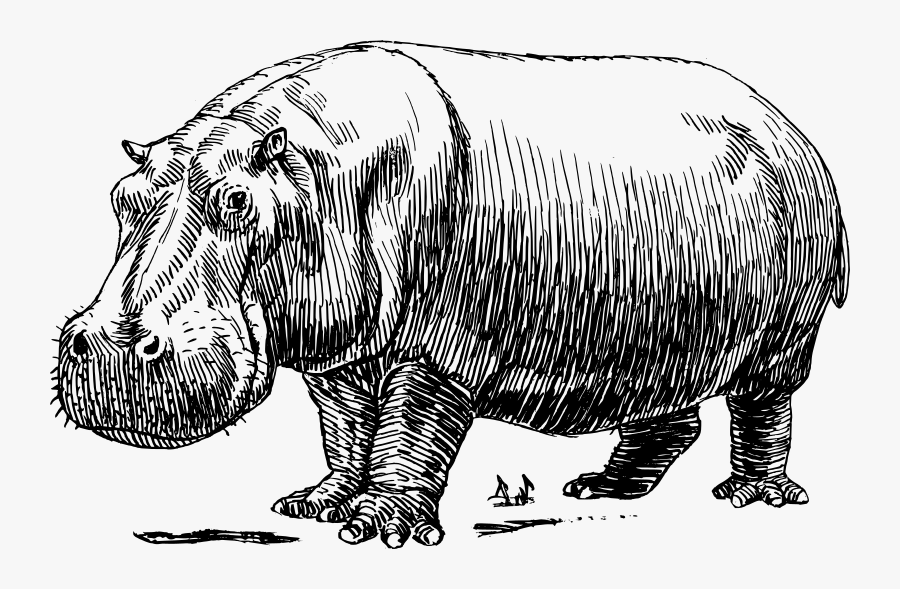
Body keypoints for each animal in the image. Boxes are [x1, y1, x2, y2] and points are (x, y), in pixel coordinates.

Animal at [56, 41, 849, 548]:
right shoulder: (342, 343)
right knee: (669, 414)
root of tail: (788, 124)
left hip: (784, 336)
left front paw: (380, 531)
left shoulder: (437, 345)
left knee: (763, 407)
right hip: (664, 330)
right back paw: (597, 488)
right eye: (121, 196)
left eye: (236, 202)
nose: (107, 341)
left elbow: (409, 429)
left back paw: (751, 496)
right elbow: (345, 426)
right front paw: (316, 506)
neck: (317, 172)